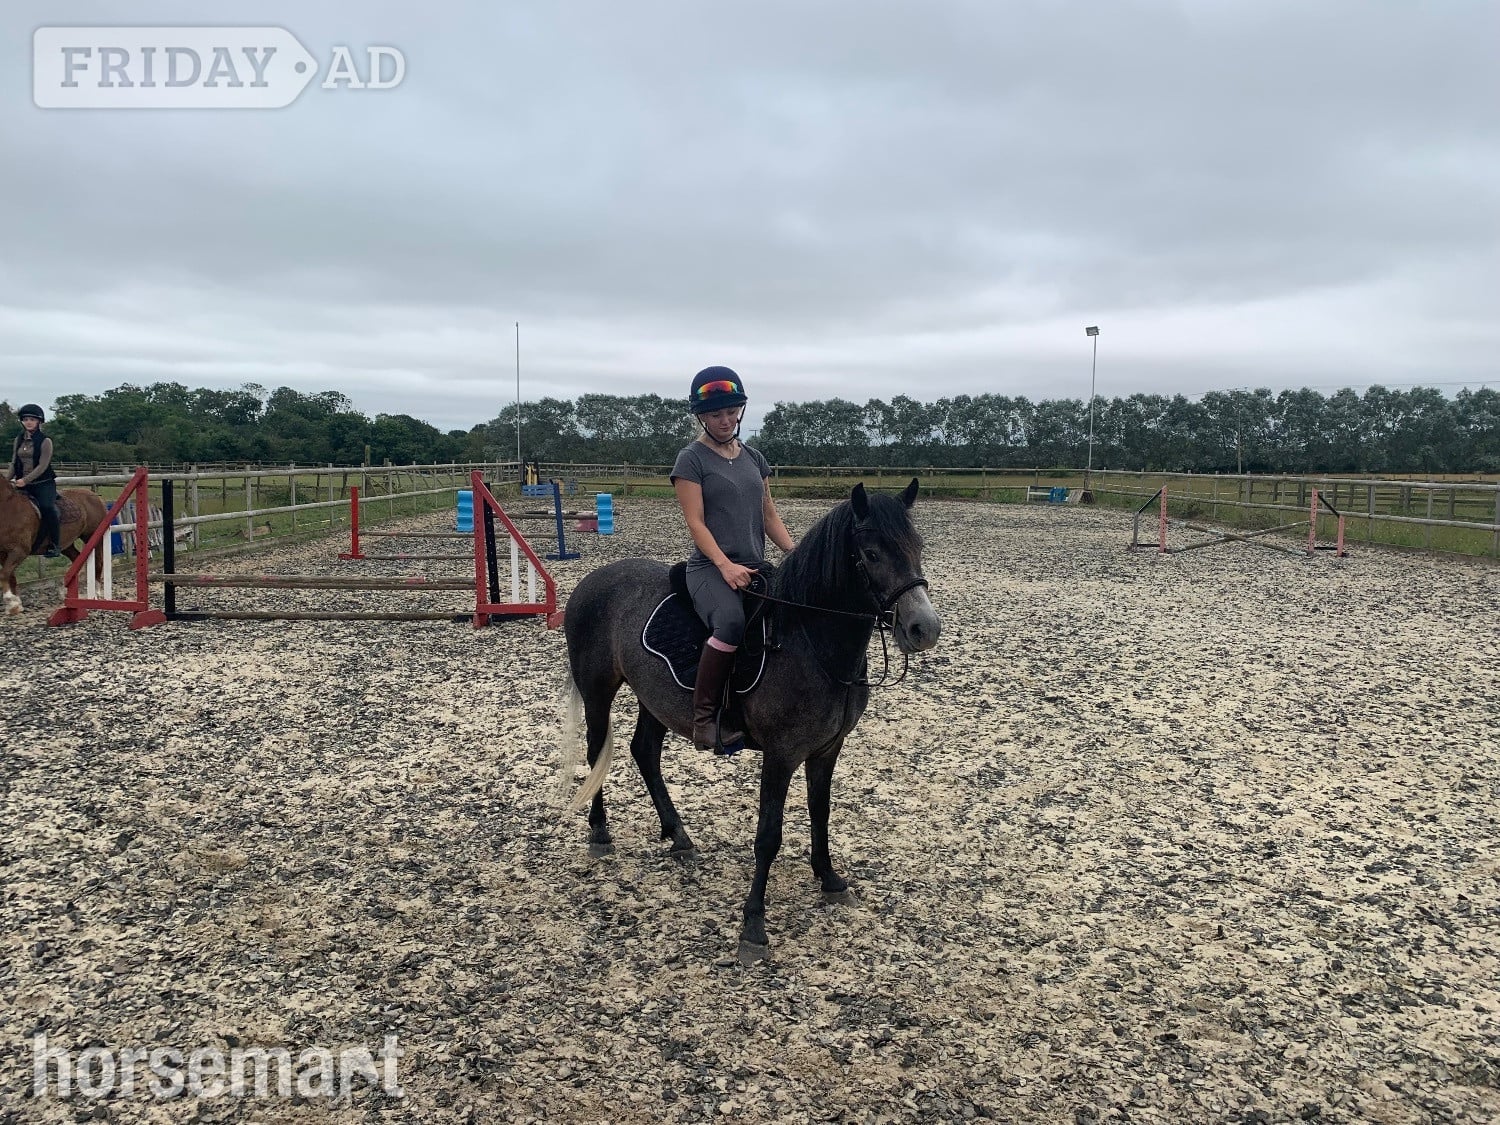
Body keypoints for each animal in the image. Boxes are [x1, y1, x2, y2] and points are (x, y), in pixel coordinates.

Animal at [1, 478, 109, 615]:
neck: (9, 507)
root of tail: (95, 496)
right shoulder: (3, 553)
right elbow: (10, 576)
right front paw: (16, 604)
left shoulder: (19, 551)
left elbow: (4, 574)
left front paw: (11, 602)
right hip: (66, 545)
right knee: (77, 559)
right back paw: (66, 591)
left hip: (93, 537)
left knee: (97, 563)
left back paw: (96, 592)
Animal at [560, 478, 942, 962]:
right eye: (871, 554)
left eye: (917, 546)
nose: (923, 628)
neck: (810, 641)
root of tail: (592, 581)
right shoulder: (780, 755)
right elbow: (768, 836)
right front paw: (754, 925)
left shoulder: (827, 749)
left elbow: (821, 812)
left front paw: (829, 879)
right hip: (597, 690)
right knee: (597, 753)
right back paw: (599, 832)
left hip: (654, 698)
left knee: (644, 751)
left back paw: (678, 836)